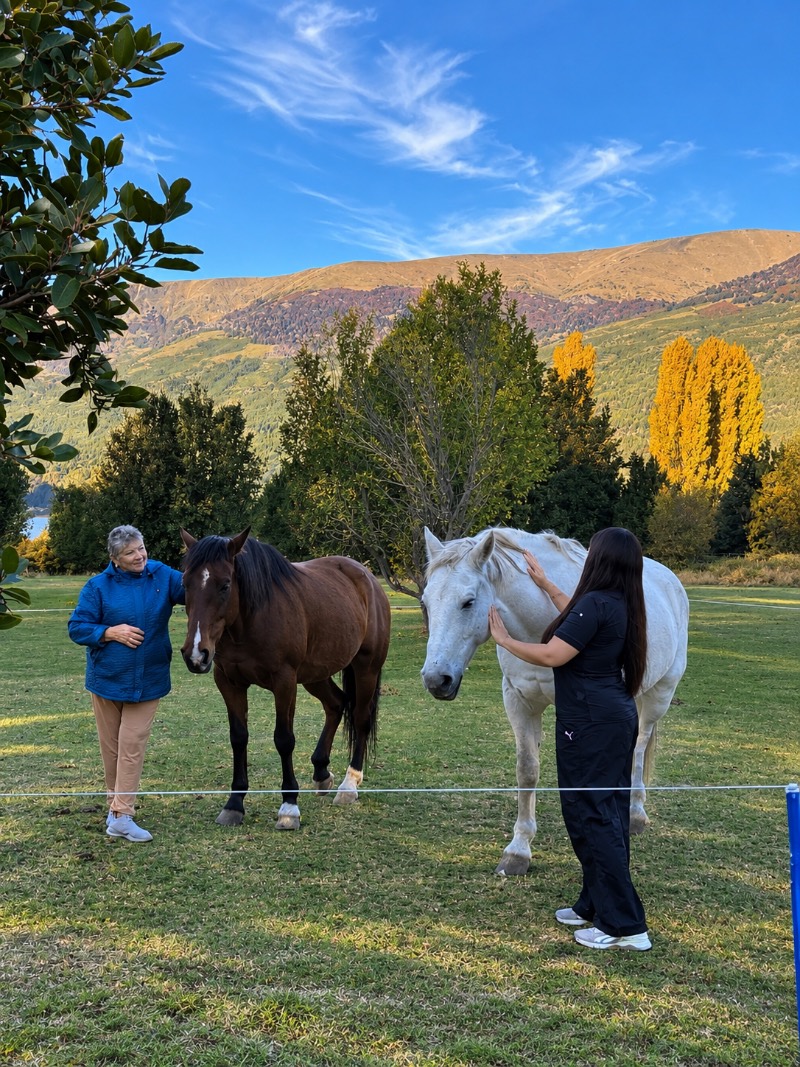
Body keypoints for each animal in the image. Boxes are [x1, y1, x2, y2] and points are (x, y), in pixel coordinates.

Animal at [180, 528, 391, 830]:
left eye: (225, 585)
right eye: (185, 583)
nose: (196, 654)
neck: (251, 618)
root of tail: (368, 578)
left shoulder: (284, 682)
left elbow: (284, 739)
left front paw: (289, 806)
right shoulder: (229, 682)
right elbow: (238, 737)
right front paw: (234, 804)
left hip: (366, 668)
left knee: (360, 718)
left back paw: (349, 785)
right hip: (316, 674)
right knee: (336, 704)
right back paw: (321, 771)